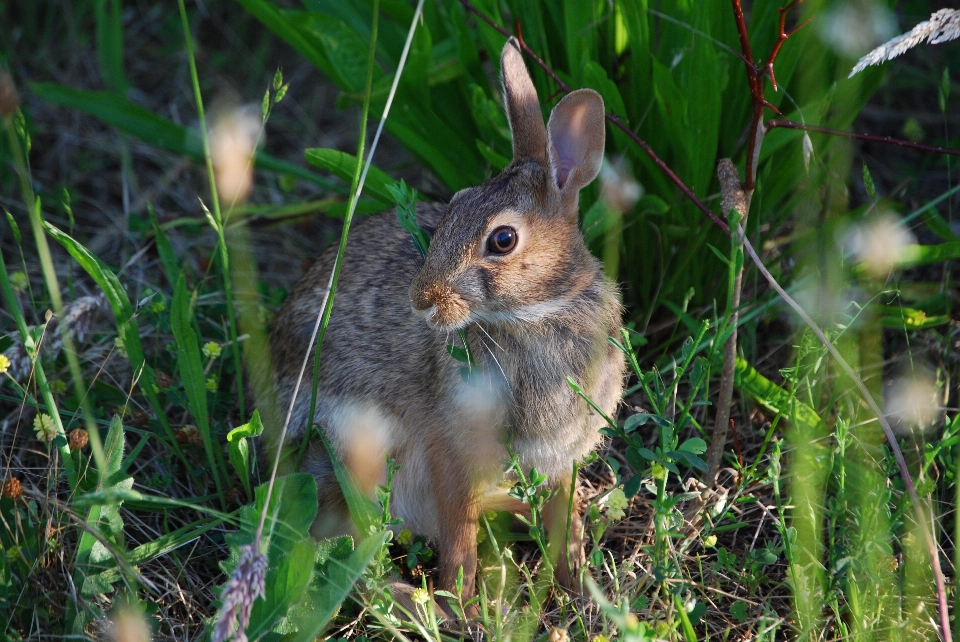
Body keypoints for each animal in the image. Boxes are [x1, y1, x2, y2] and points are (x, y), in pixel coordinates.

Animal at [262, 37, 628, 608]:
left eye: (502, 239)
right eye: (453, 206)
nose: (421, 300)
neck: (537, 313)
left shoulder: (561, 456)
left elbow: (559, 515)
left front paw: (578, 583)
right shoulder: (450, 449)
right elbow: (458, 532)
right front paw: (463, 601)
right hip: (355, 449)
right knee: (347, 546)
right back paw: (410, 598)